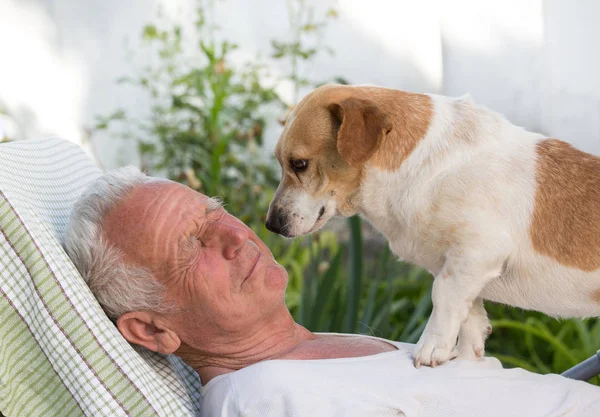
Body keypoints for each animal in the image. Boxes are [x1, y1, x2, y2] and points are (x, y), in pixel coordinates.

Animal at [264, 83, 600, 366]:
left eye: (299, 164)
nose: (270, 225)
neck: (427, 165)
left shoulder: (477, 252)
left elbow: (443, 297)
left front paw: (432, 348)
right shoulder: (458, 265)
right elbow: (469, 315)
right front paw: (466, 357)